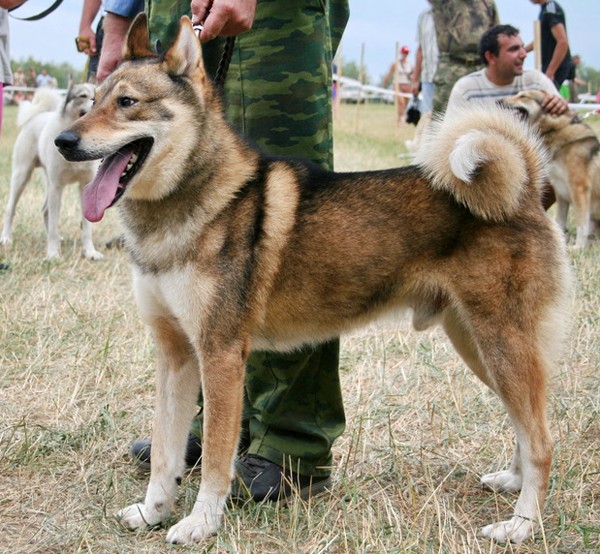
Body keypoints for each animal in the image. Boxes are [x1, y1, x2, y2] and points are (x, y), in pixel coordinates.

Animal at [1, 83, 102, 260]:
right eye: (82, 96)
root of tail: (38, 115)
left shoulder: (85, 186)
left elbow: (87, 228)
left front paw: (90, 252)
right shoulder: (57, 187)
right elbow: (54, 225)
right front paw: (53, 254)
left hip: (48, 182)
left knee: (45, 211)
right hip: (22, 176)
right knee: (10, 209)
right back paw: (6, 238)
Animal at [55, 15, 573, 545]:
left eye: (127, 102)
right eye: (93, 99)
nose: (63, 141)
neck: (196, 200)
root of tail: (527, 188)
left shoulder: (220, 358)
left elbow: (217, 461)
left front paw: (200, 523)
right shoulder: (176, 354)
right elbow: (165, 452)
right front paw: (153, 511)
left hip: (501, 346)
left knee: (543, 440)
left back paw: (521, 524)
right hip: (480, 348)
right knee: (526, 426)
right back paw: (512, 482)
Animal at [502, 89, 600, 248]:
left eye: (523, 96)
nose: (499, 101)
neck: (555, 130)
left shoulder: (579, 189)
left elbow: (581, 223)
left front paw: (578, 247)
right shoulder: (560, 190)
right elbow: (560, 219)